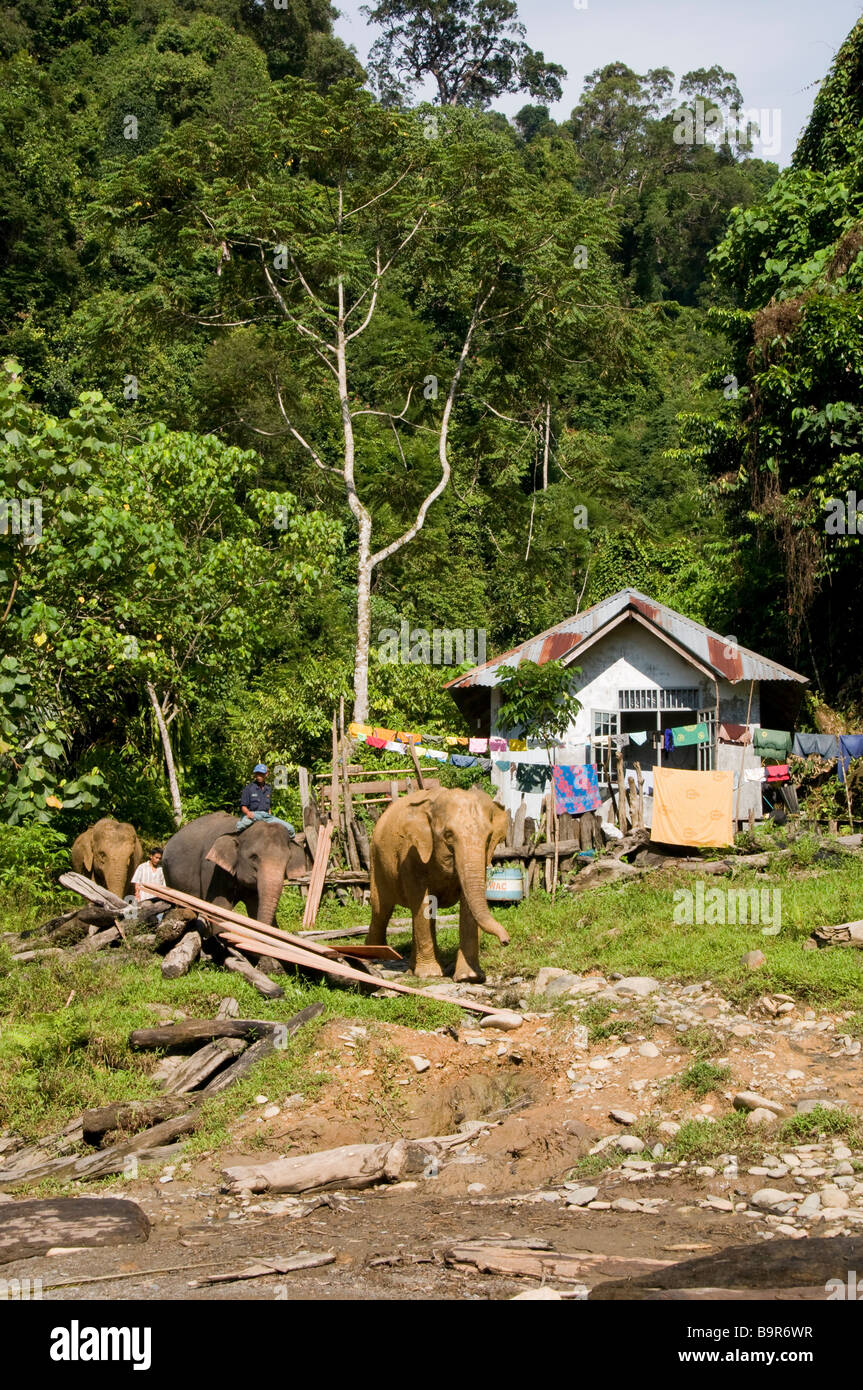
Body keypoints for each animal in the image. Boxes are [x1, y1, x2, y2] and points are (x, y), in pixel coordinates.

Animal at [364, 789, 511, 984]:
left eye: (488, 838)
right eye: (448, 835)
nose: (506, 941)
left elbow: (466, 906)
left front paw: (469, 977)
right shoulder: (411, 856)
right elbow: (423, 903)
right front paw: (430, 975)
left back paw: (411, 969)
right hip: (376, 858)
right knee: (381, 909)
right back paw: (375, 959)